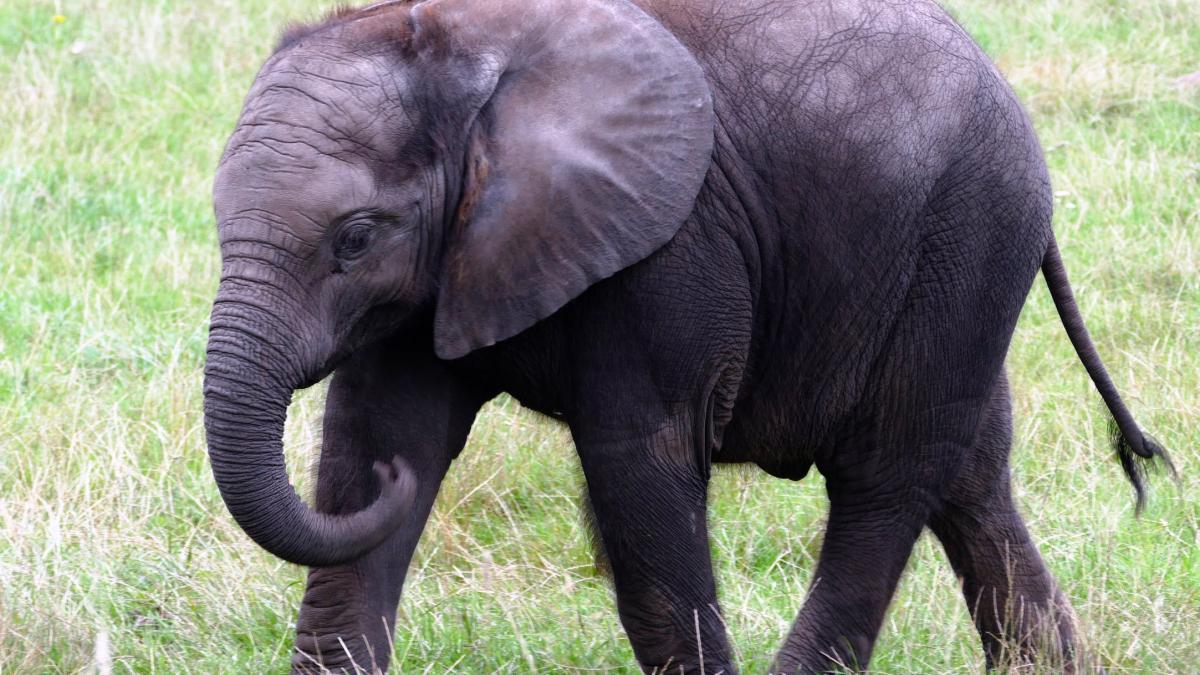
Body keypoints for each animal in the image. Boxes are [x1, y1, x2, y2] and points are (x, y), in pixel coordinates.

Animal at [203, 0, 1174, 671]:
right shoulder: (444, 261)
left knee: (887, 477)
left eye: (355, 237)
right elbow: (378, 433)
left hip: (966, 236)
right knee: (971, 476)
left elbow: (641, 464)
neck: (465, 56)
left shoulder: (673, 245)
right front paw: (390, 472)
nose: (399, 489)